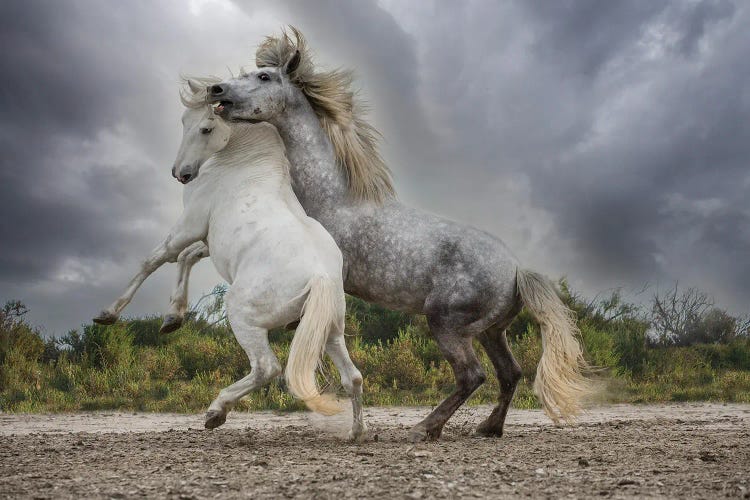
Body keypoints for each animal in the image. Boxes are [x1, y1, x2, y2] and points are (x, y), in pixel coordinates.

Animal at [92, 77, 368, 438]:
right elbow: (187, 259)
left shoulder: (188, 227)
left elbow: (155, 260)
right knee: (353, 378)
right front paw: (172, 318)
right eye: (184, 122)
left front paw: (108, 313)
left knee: (267, 368)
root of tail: (320, 277)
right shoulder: (208, 241)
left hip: (243, 317)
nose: (180, 173)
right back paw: (355, 432)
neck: (245, 162)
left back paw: (216, 411)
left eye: (207, 128)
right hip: (331, 332)